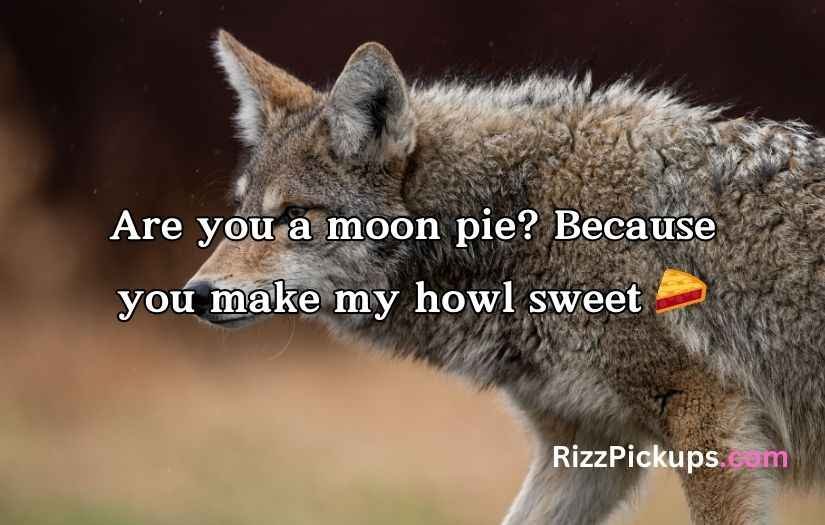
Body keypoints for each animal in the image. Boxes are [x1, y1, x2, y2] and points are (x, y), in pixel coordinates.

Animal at [186, 30, 825, 524]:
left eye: (294, 215)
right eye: (240, 213)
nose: (195, 295)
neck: (521, 222)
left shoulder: (706, 417)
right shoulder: (587, 450)